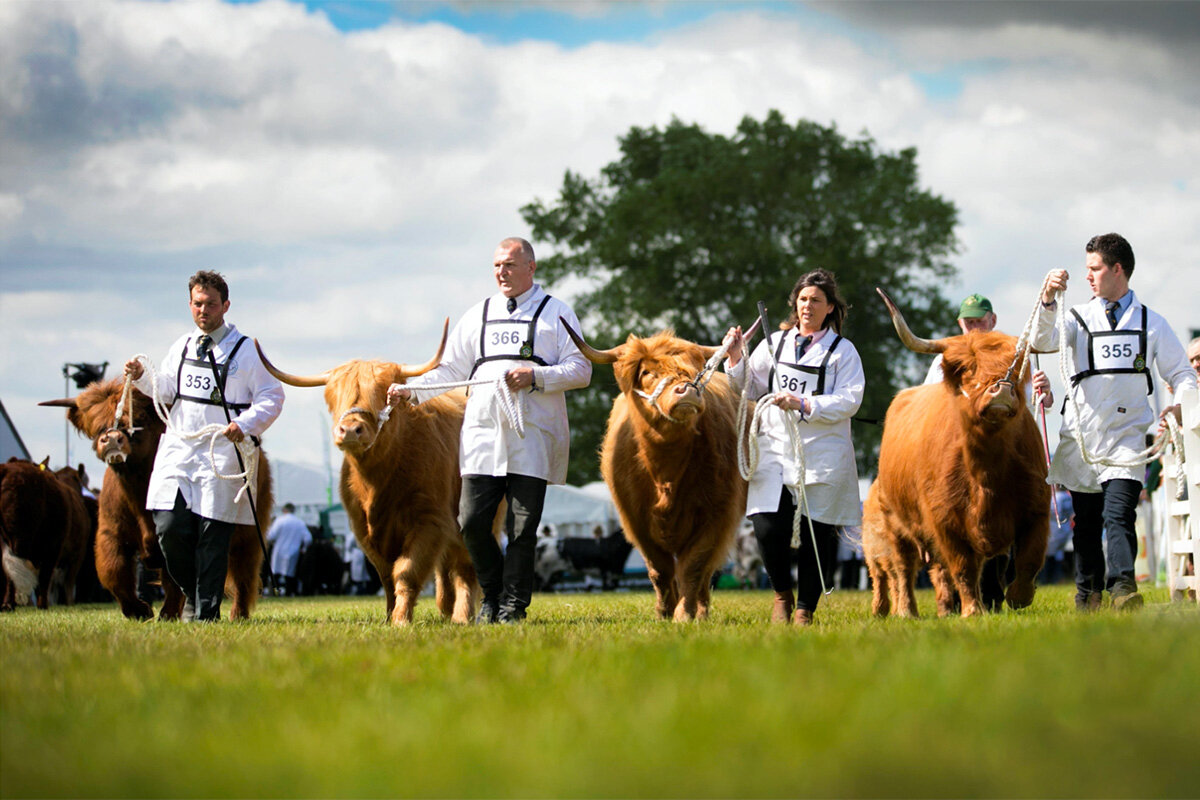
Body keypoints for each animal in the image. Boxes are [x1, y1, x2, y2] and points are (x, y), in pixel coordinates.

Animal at [40, 381, 272, 618]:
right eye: (96, 426)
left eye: (139, 419)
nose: (111, 439)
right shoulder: (110, 533)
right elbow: (113, 571)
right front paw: (139, 610)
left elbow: (174, 578)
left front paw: (167, 614)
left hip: (250, 532)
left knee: (244, 571)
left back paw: (238, 614)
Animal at [256, 321, 477, 623]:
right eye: (332, 398)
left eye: (384, 394)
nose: (350, 430)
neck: (379, 480)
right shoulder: (363, 528)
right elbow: (387, 575)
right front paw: (389, 615)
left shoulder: (429, 520)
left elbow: (406, 571)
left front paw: (400, 619)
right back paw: (445, 610)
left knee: (465, 566)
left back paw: (462, 616)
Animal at [566, 328, 744, 623]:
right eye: (647, 372)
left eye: (695, 368)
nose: (687, 390)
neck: (665, 470)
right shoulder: (636, 520)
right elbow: (659, 569)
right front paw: (664, 612)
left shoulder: (717, 514)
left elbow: (694, 567)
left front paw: (684, 614)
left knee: (705, 572)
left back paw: (702, 611)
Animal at [864, 289, 1051, 618]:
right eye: (967, 368)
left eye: (1016, 368)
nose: (1001, 389)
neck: (987, 471)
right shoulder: (946, 520)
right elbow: (963, 567)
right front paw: (973, 610)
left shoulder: (1037, 508)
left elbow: (1029, 560)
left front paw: (1018, 597)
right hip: (895, 523)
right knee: (903, 568)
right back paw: (906, 611)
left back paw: (945, 609)